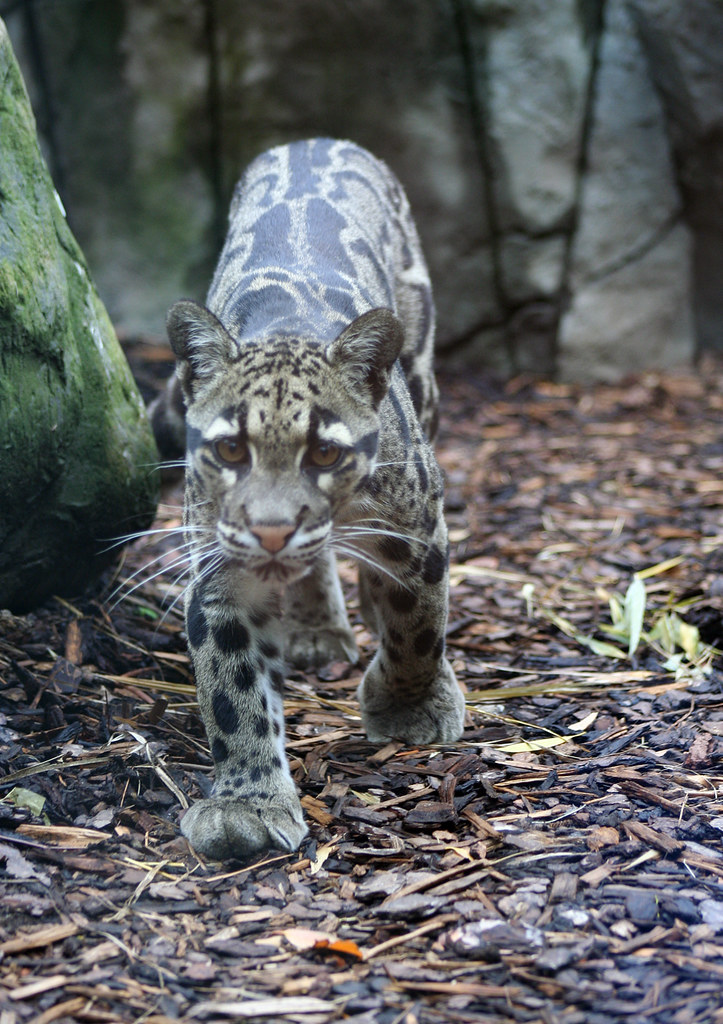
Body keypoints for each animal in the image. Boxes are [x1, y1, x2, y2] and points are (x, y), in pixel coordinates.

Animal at [150, 137, 465, 861]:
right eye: (230, 450)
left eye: (324, 453)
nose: (271, 529)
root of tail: (314, 139)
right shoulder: (219, 565)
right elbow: (231, 687)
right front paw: (246, 803)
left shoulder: (415, 523)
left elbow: (417, 623)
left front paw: (408, 708)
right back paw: (318, 628)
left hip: (425, 367)